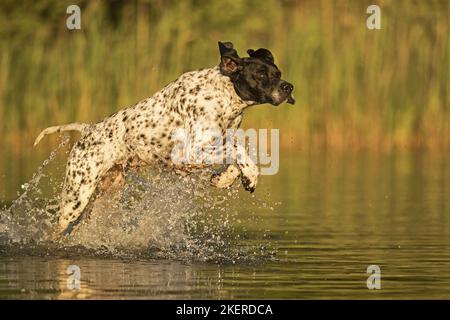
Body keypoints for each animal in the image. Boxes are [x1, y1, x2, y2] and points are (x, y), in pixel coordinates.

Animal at [35, 41, 296, 239]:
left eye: (279, 73)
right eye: (261, 74)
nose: (288, 87)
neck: (224, 94)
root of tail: (88, 129)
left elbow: (234, 155)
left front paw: (224, 179)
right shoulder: (190, 153)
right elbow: (240, 151)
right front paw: (250, 175)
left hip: (106, 197)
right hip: (75, 197)